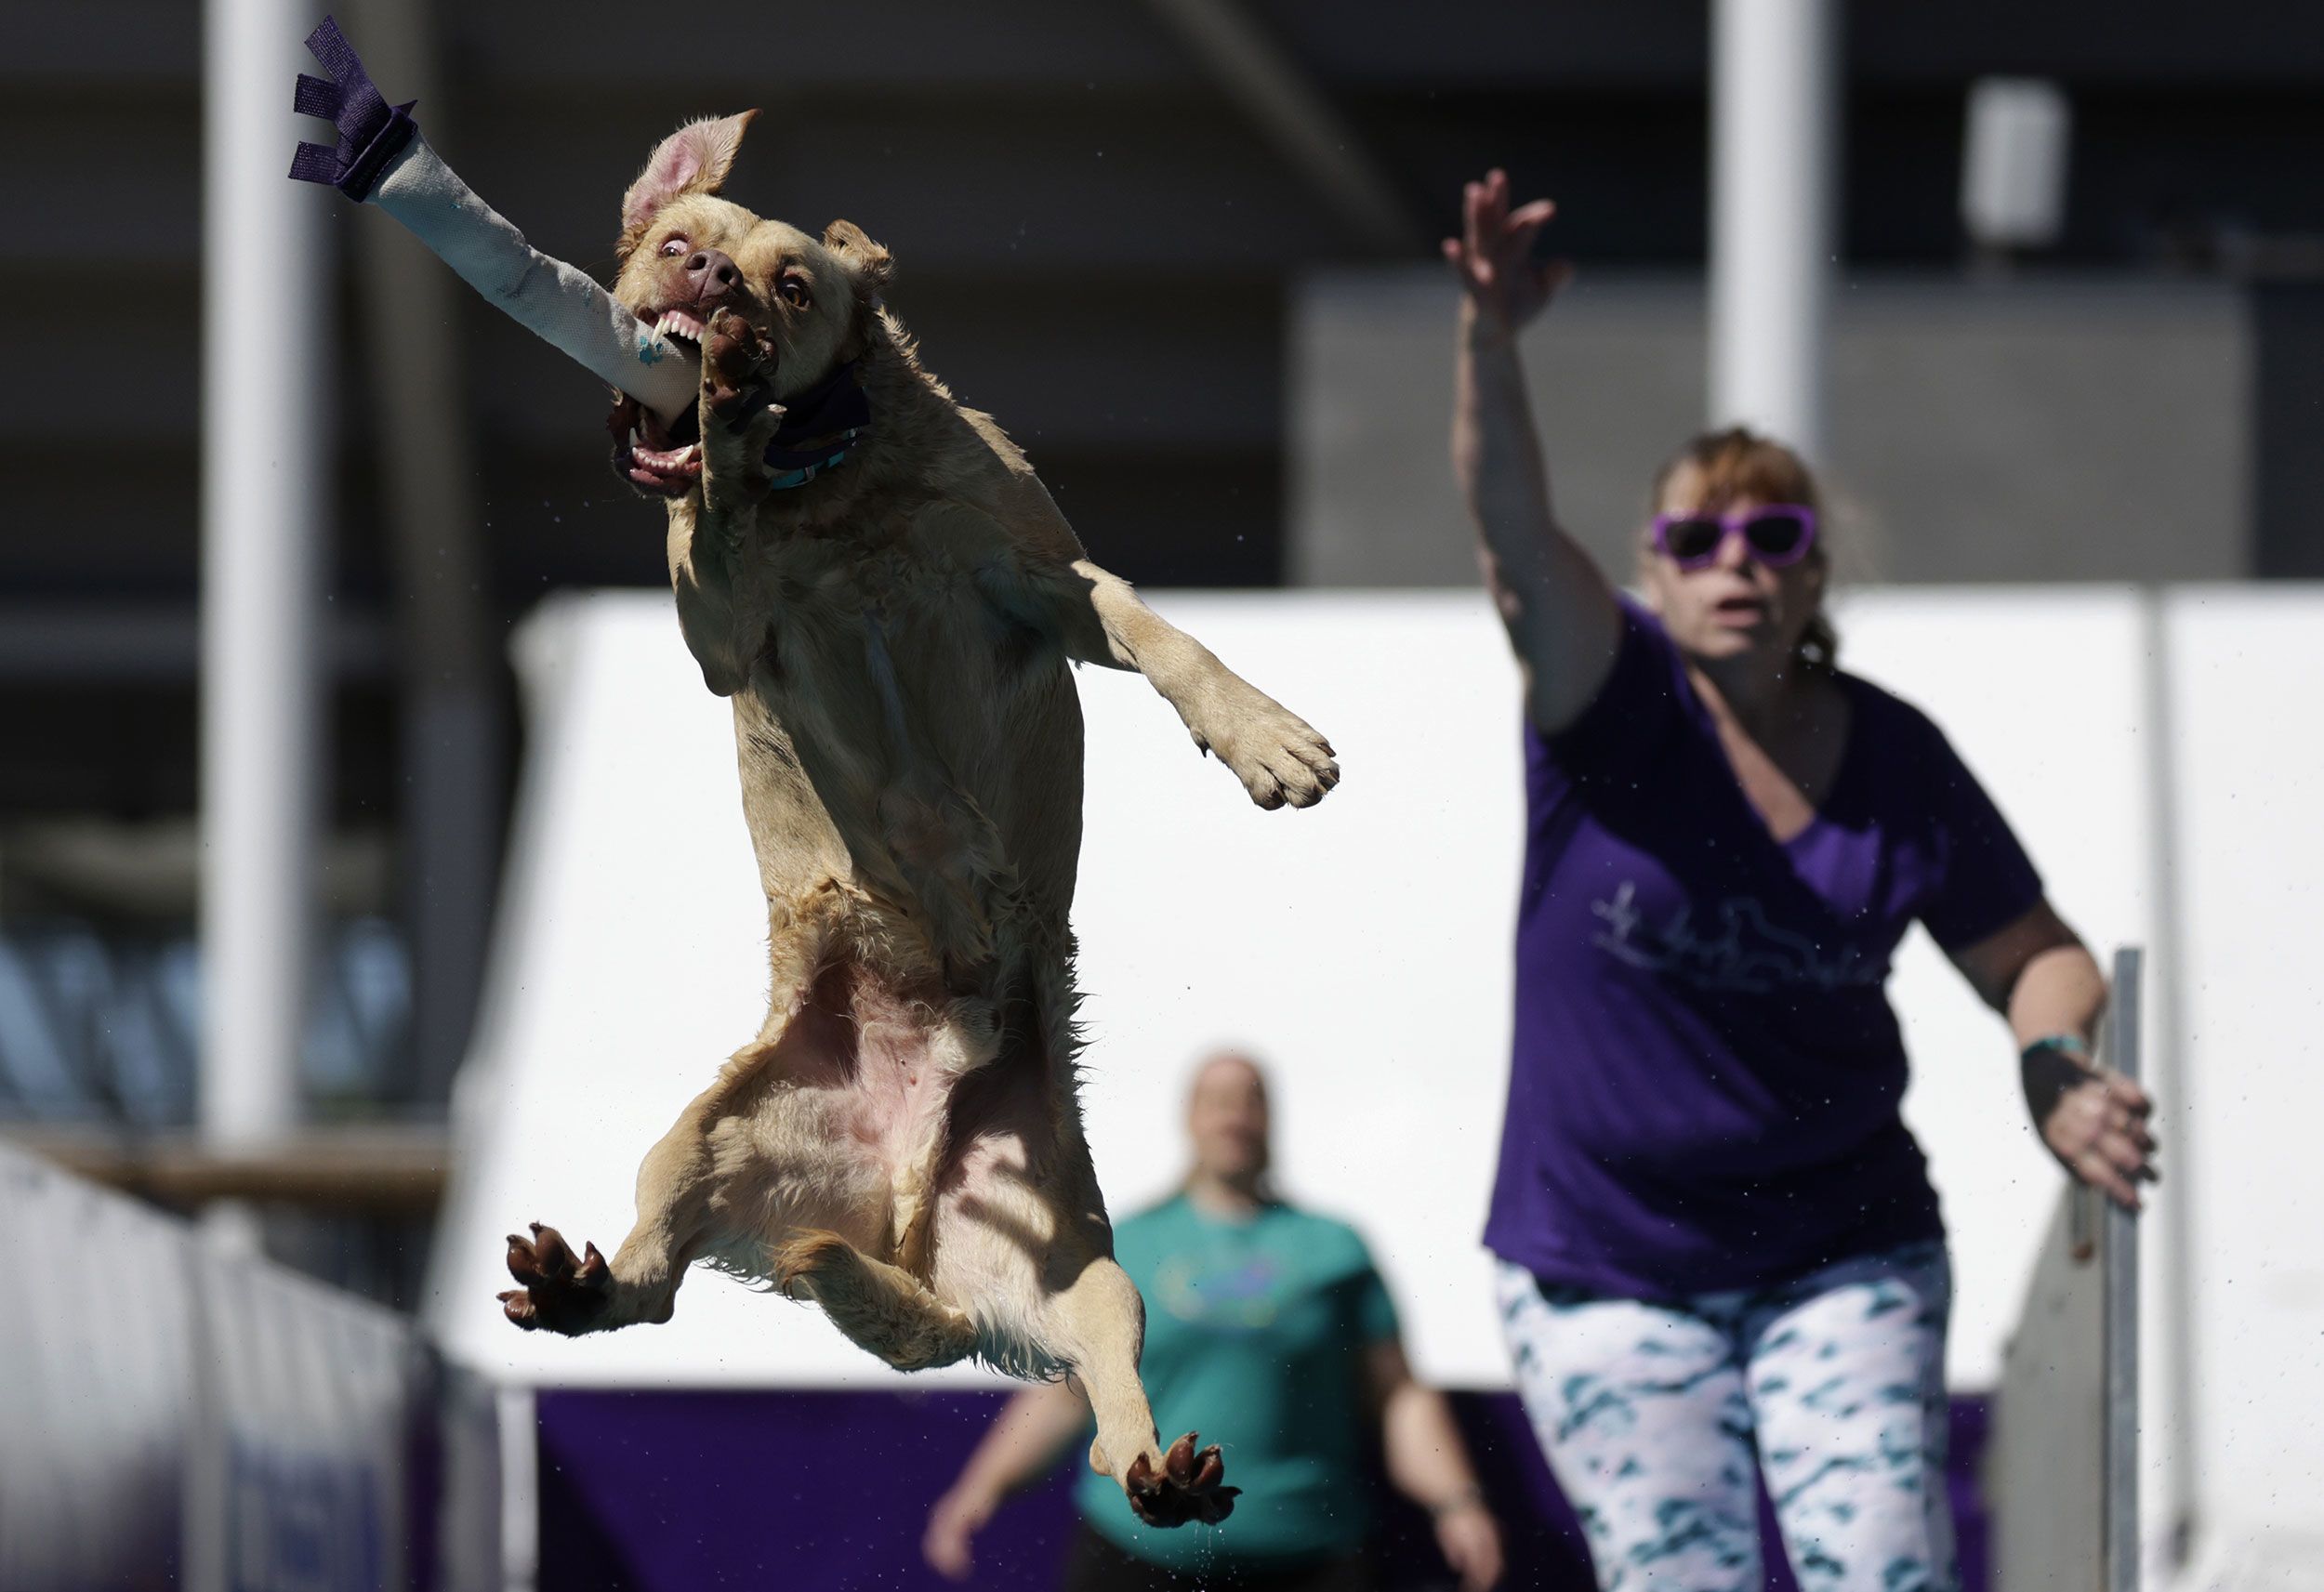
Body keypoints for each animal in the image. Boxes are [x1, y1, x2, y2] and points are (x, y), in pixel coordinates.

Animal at [499, 105, 1339, 1524]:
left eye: (793, 283)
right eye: (678, 242)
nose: (712, 288)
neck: (826, 494)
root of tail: (898, 1215)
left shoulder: (1047, 581)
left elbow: (1163, 635)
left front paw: (1260, 734)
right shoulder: (724, 637)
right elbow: (713, 541)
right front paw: (719, 453)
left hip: (1084, 1268)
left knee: (1107, 1417)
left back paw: (1165, 1472)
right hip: (703, 1143)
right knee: (651, 1284)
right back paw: (576, 1286)